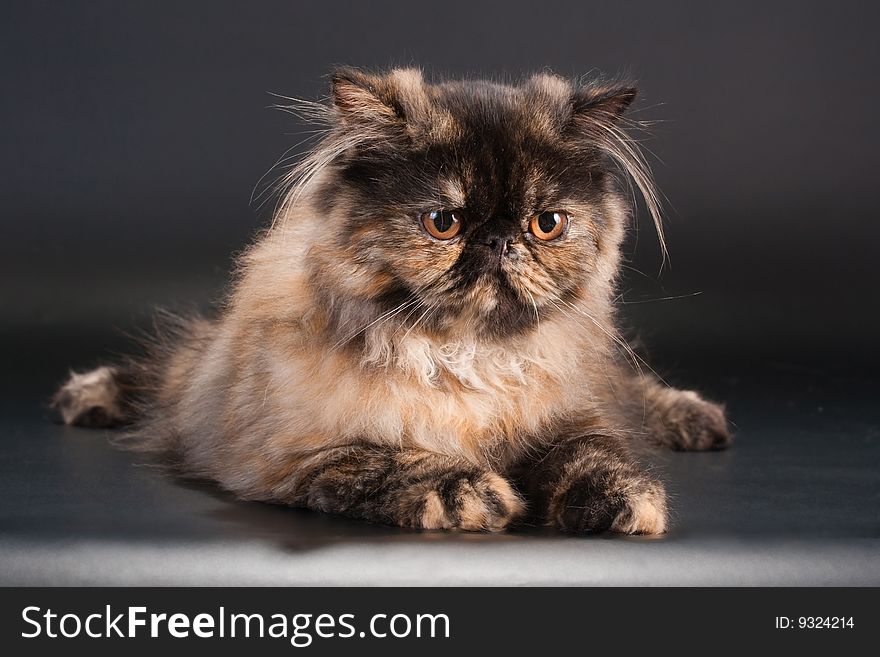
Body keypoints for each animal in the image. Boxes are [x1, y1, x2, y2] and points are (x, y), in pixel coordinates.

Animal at [51, 66, 732, 532]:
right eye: (442, 222)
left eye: (545, 224)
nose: (499, 241)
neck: (463, 358)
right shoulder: (293, 451)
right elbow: (390, 459)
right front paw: (469, 491)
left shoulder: (577, 415)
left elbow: (595, 452)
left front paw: (623, 501)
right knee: (161, 376)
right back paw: (88, 394)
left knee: (633, 390)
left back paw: (695, 417)